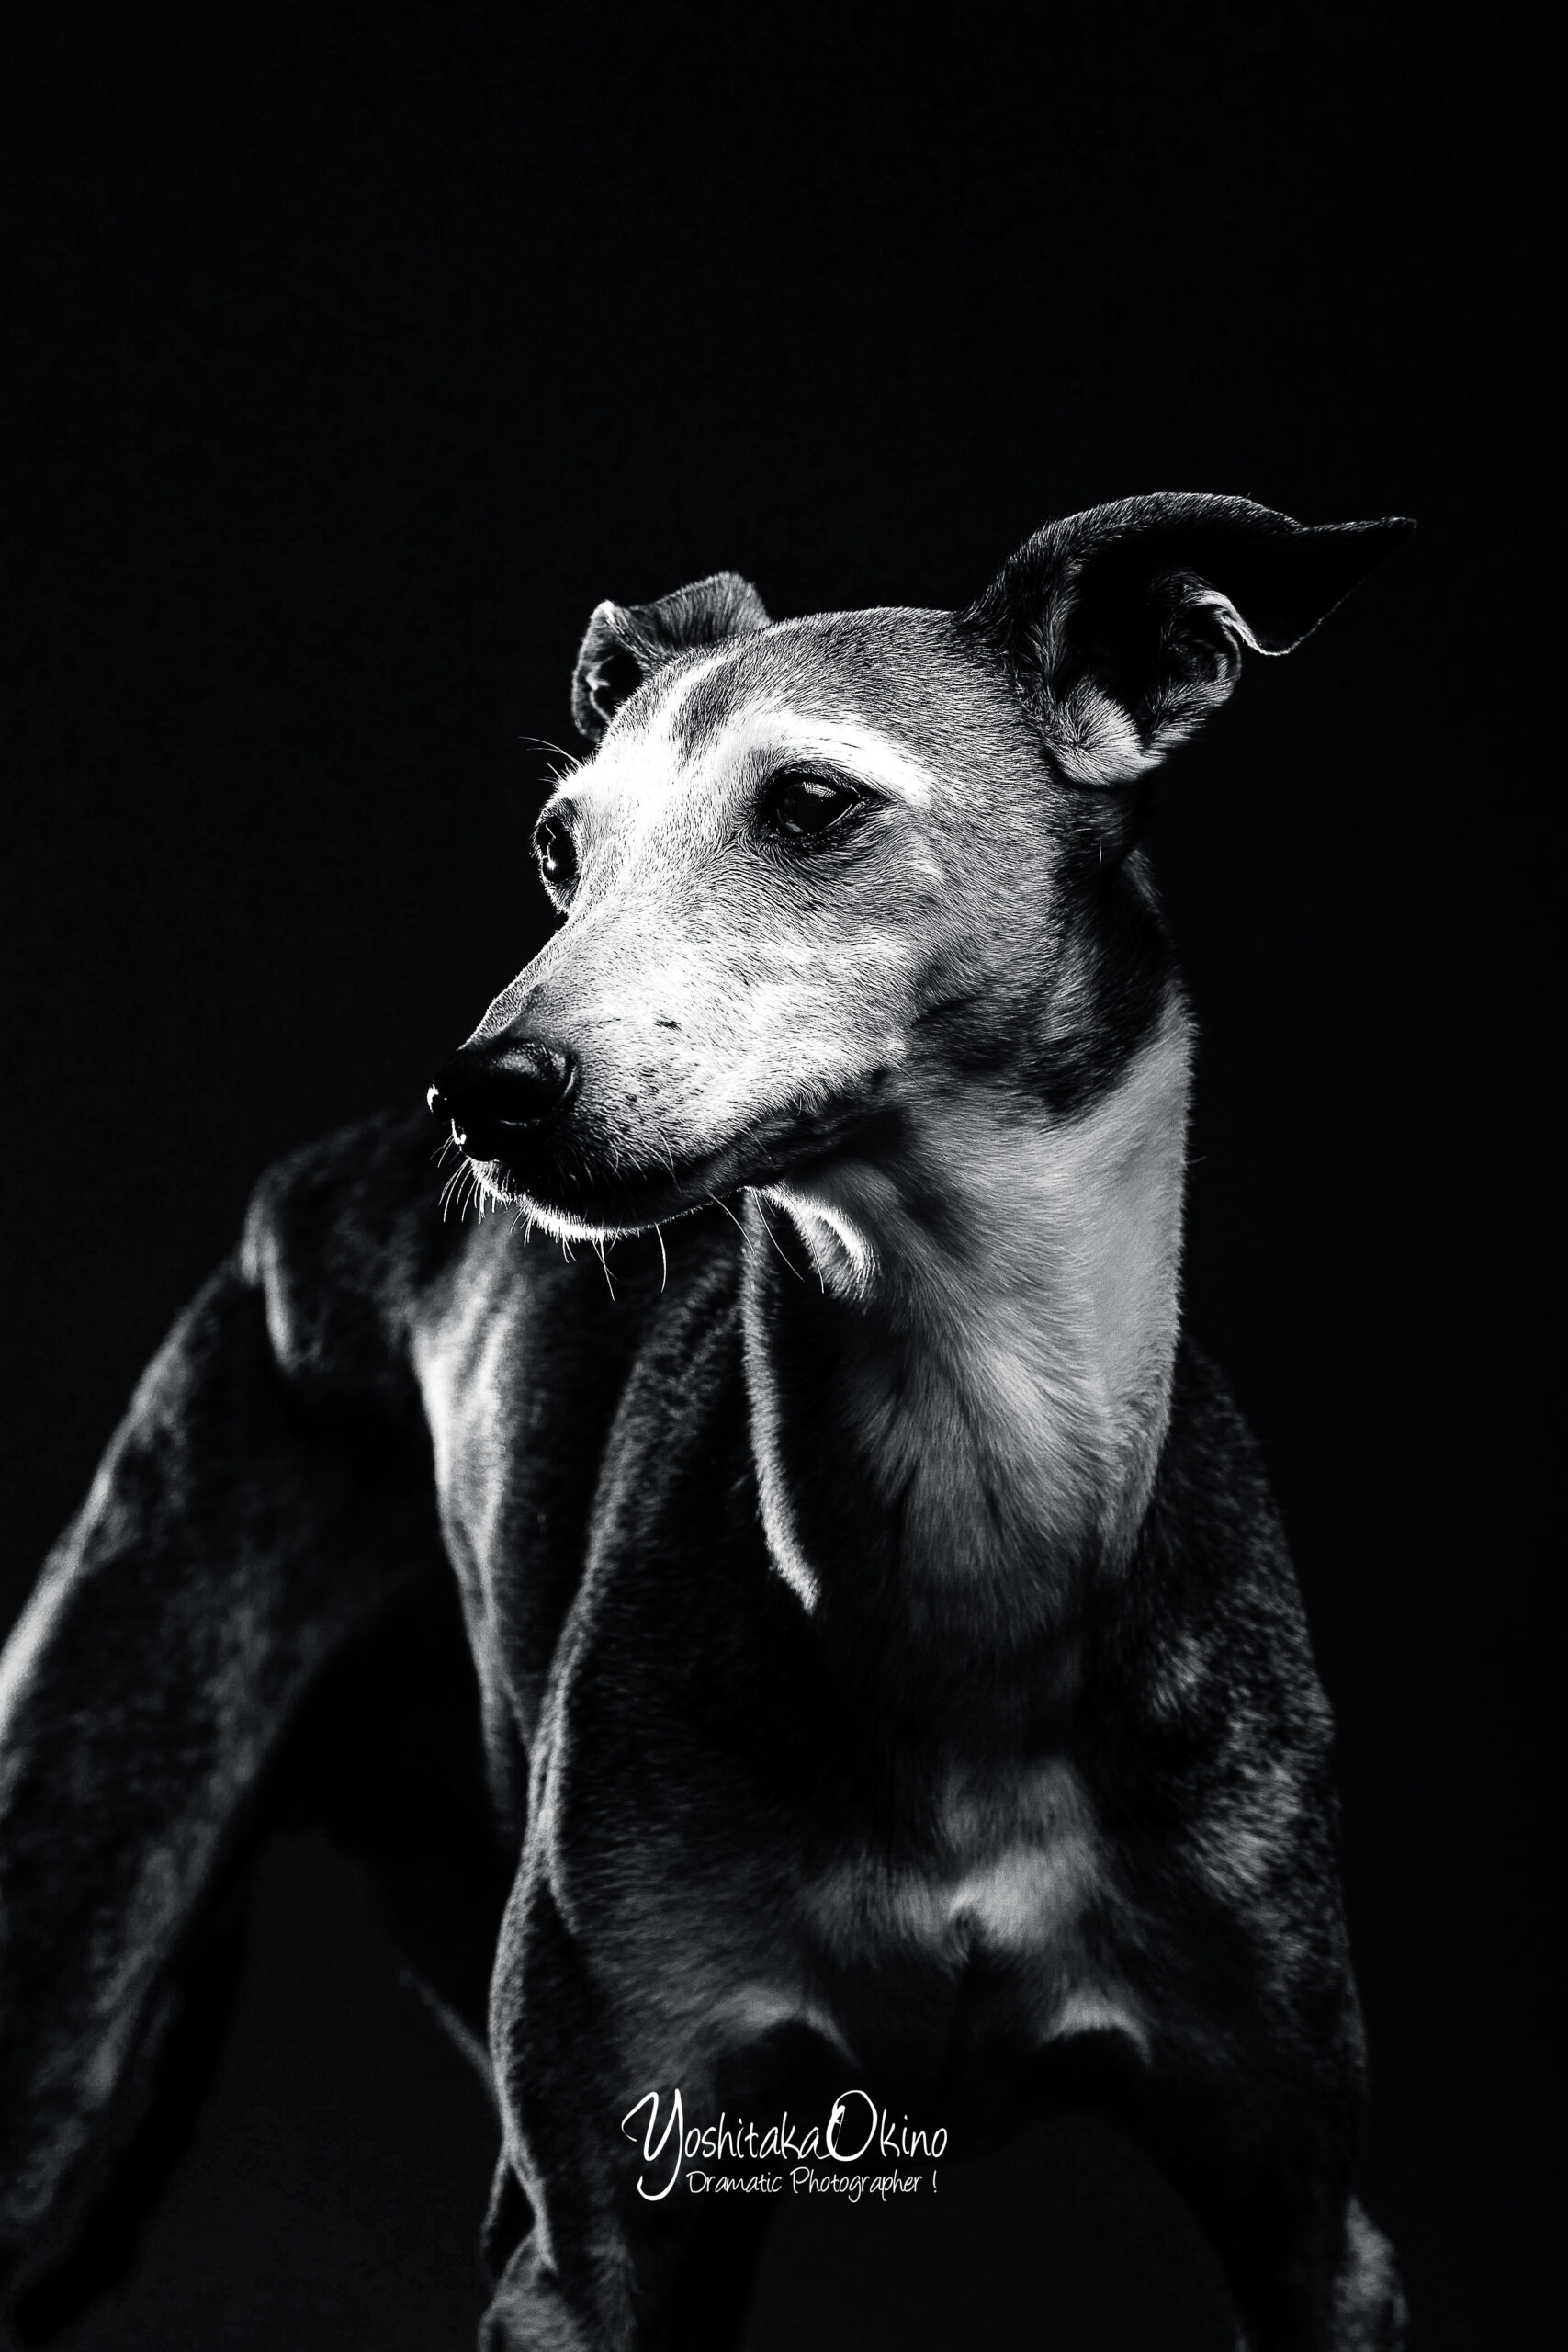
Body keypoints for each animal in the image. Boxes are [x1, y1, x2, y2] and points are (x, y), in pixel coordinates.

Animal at [0, 493, 1412, 2349]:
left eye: (807, 804)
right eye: (557, 848)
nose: (485, 1098)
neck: (972, 1537)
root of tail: (304, 1192)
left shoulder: (1307, 2214)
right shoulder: (592, 2237)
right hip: (84, 1933)